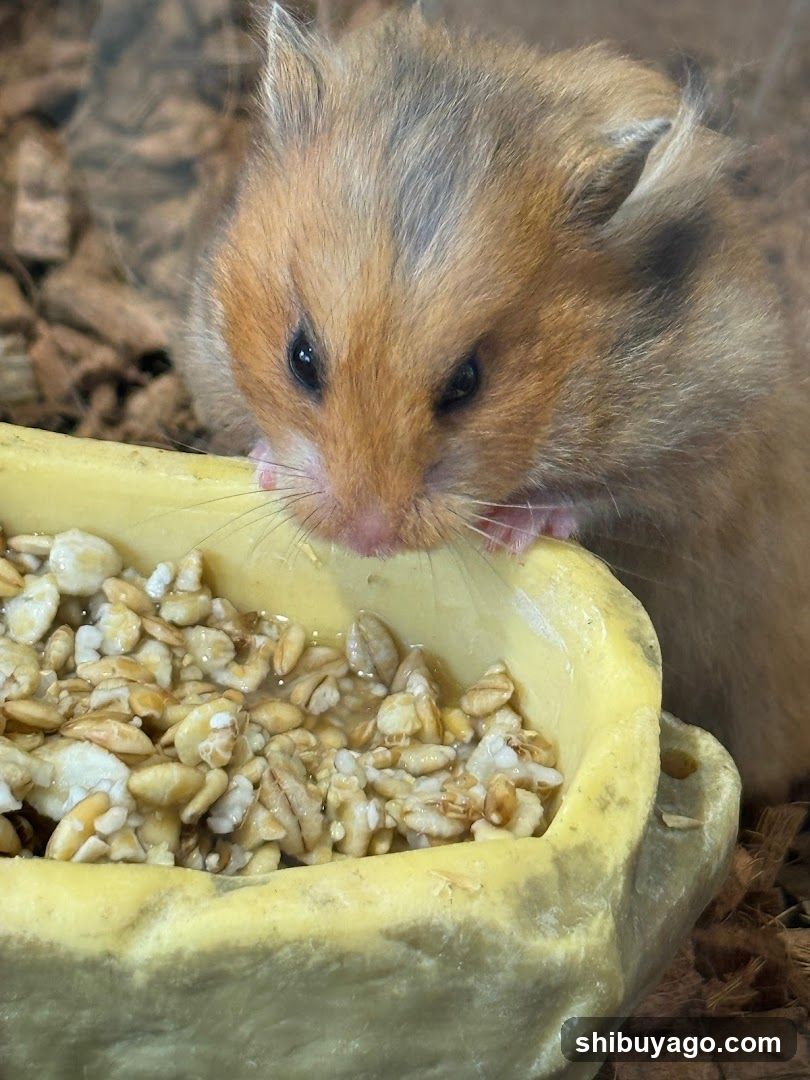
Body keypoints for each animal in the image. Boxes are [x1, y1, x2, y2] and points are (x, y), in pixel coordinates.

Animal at [181, 3, 810, 803]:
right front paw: (265, 465)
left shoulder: (700, 444)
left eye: (467, 382)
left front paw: (509, 528)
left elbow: (605, 497)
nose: (366, 539)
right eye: (301, 358)